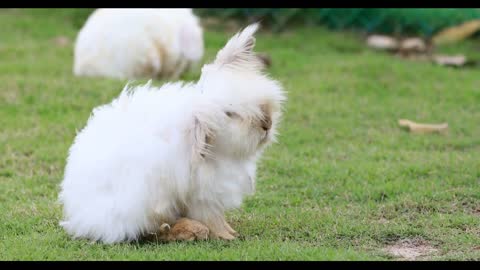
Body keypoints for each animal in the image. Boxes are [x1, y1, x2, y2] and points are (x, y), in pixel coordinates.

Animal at [59, 22, 284, 243]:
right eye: (230, 114)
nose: (267, 124)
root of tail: (78, 217)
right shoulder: (202, 194)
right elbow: (212, 217)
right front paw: (226, 236)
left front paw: (232, 232)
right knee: (152, 231)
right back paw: (188, 230)